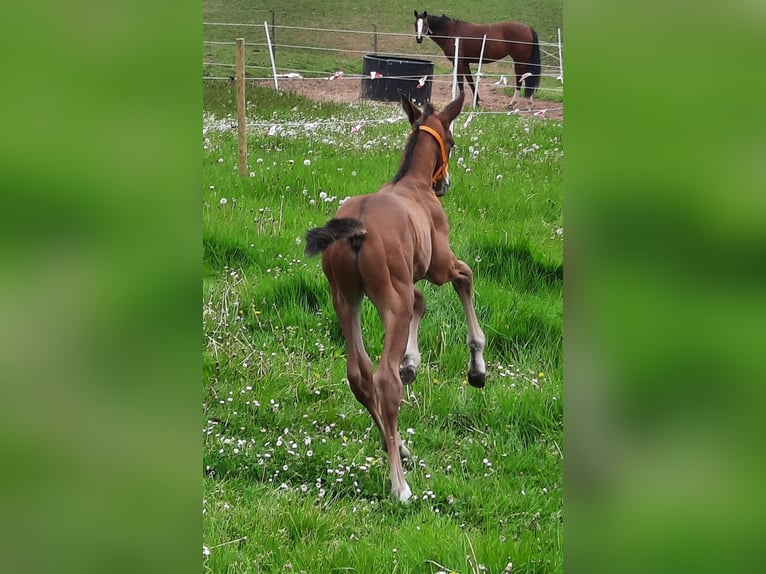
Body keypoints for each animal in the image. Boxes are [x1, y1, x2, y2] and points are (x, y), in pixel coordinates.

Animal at [304, 91, 486, 504]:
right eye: (452, 141)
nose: (444, 184)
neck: (413, 184)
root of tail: (355, 229)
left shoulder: (408, 279)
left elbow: (422, 301)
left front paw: (412, 363)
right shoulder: (438, 266)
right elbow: (464, 278)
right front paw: (477, 369)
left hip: (345, 299)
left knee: (359, 375)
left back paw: (398, 446)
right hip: (390, 302)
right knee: (384, 380)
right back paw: (399, 484)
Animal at [416, 9, 544, 108]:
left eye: (425, 24)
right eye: (415, 24)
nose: (418, 39)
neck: (451, 32)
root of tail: (528, 28)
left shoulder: (458, 62)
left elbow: (460, 81)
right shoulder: (465, 63)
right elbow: (470, 81)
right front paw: (476, 101)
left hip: (519, 62)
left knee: (521, 80)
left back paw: (513, 103)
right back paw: (528, 102)